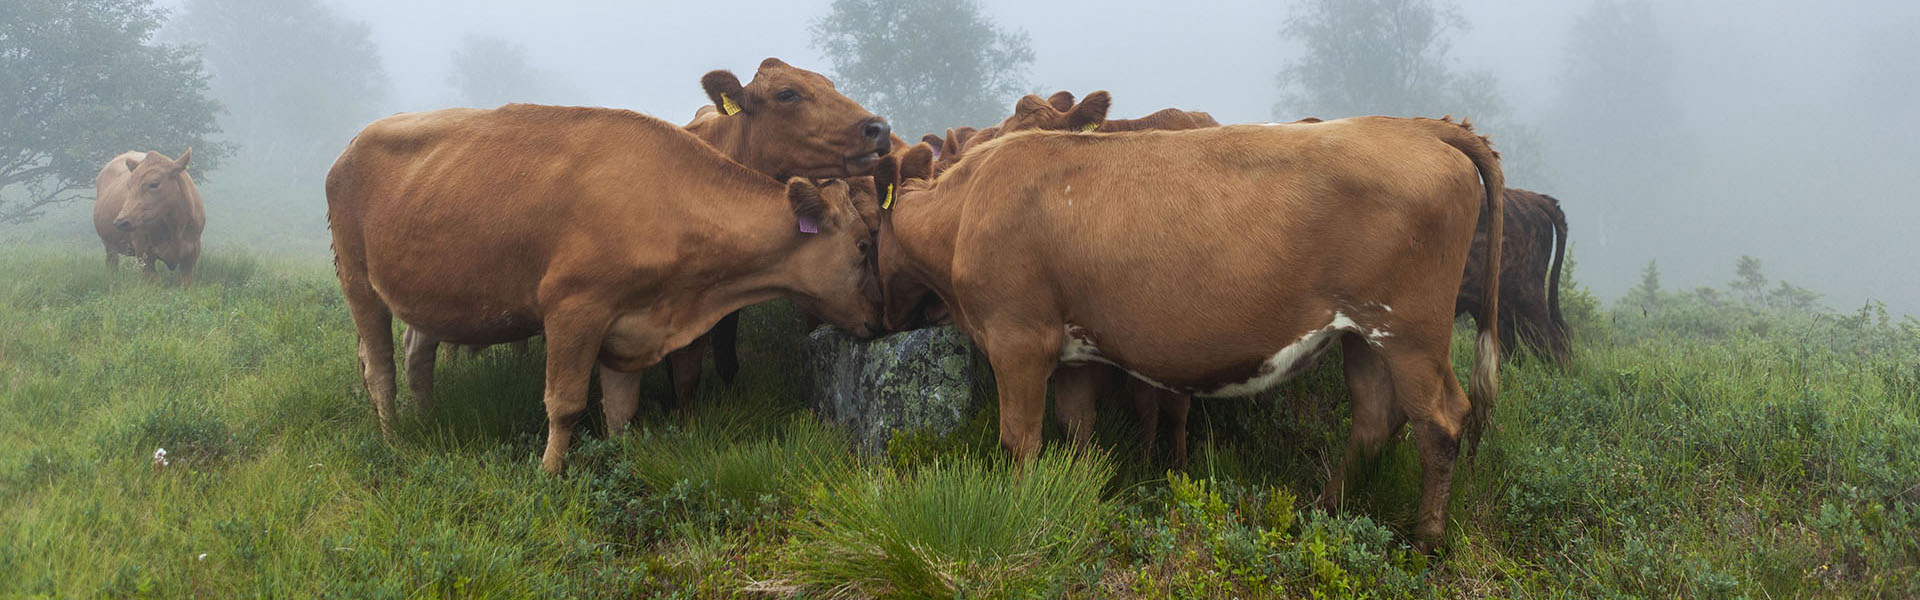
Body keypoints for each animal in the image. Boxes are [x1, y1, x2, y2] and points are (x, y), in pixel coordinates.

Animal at [93, 149, 206, 286]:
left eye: (154, 184)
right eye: (129, 185)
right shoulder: (144, 253)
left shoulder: (191, 254)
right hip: (109, 244)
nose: (121, 222)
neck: (174, 227)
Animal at [330, 104, 883, 473]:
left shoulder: (631, 326)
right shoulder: (574, 311)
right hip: (358, 284)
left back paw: (427, 421)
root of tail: (352, 143)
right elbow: (565, 403)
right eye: (861, 245)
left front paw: (622, 459)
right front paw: (549, 473)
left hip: (426, 297)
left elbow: (621, 407)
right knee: (379, 368)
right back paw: (394, 439)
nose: (879, 319)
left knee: (414, 356)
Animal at [879, 114, 1505, 550]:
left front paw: (1021, 506)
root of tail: (1416, 125)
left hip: (1409, 331)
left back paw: (1426, 541)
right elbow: (1076, 429)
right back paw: (1321, 511)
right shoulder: (1075, 352)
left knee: (1441, 421)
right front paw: (1074, 491)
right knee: (1376, 419)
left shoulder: (1017, 338)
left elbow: (1020, 439)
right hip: (1365, 336)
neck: (966, 206)